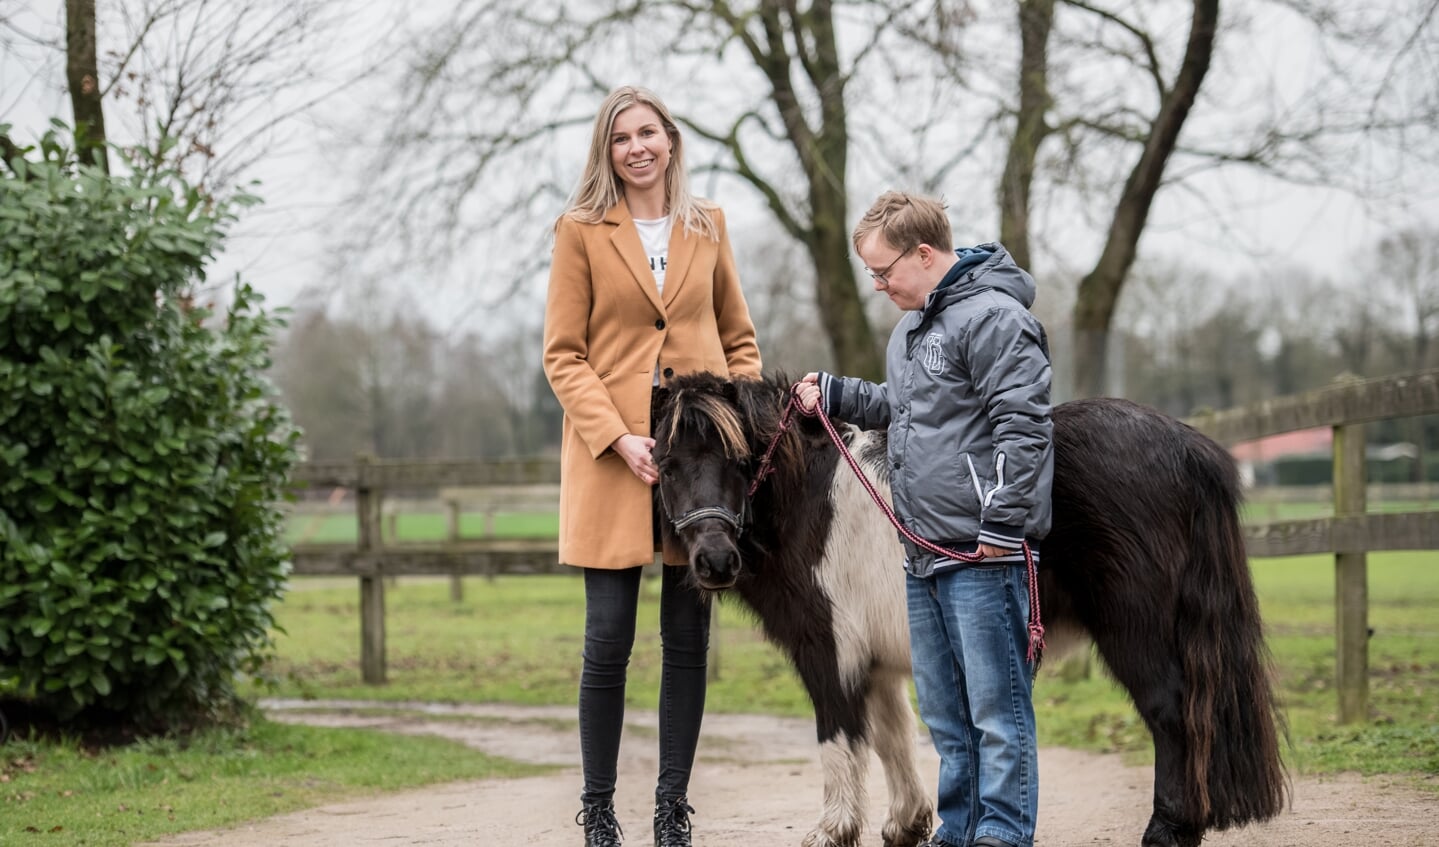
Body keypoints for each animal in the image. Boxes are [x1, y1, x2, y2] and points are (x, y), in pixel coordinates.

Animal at [653, 373, 1283, 845]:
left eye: (738, 461)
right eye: (666, 465)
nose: (715, 561)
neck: (807, 497)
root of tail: (1185, 446)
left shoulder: (828, 651)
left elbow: (839, 735)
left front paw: (833, 830)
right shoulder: (879, 660)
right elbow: (892, 733)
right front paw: (906, 824)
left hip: (1138, 633)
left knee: (1174, 715)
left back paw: (1169, 829)